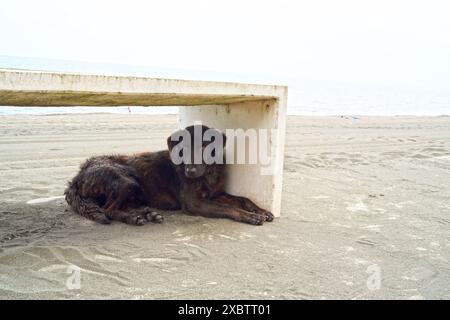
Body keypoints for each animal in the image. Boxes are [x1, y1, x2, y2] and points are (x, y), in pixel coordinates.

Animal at [63, 124, 274, 226]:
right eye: (183, 149)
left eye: (204, 147)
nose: (189, 172)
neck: (208, 174)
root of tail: (77, 176)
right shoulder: (194, 203)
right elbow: (229, 208)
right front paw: (250, 216)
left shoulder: (217, 194)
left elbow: (242, 199)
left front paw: (261, 211)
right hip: (126, 181)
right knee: (108, 209)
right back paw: (134, 218)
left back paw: (148, 214)